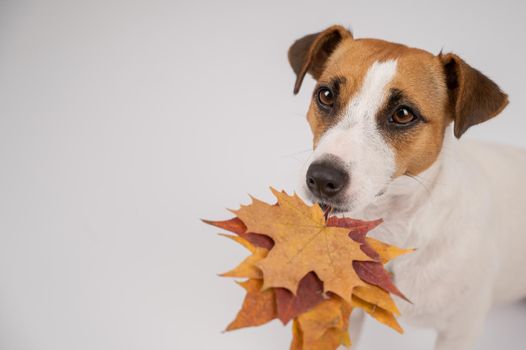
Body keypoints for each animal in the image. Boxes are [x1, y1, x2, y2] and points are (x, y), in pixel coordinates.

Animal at [290, 25, 526, 350]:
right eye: (325, 95)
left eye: (403, 114)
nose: (322, 179)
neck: (394, 232)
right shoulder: (349, 310)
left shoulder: (460, 330)